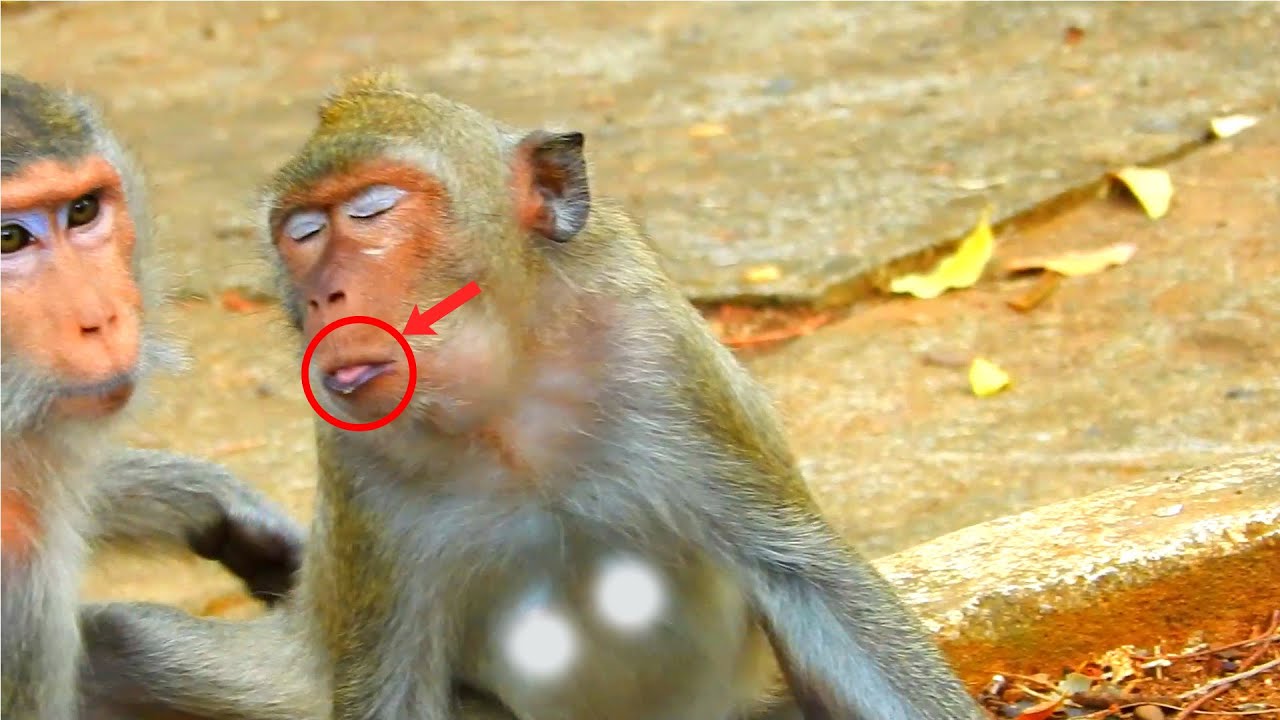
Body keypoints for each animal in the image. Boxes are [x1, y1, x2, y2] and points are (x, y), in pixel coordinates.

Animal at [79, 70, 987, 720]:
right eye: (301, 233)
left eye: (372, 211)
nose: (325, 297)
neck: (504, 403)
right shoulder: (359, 462)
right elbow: (393, 684)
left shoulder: (656, 352)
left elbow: (809, 584)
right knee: (114, 646)